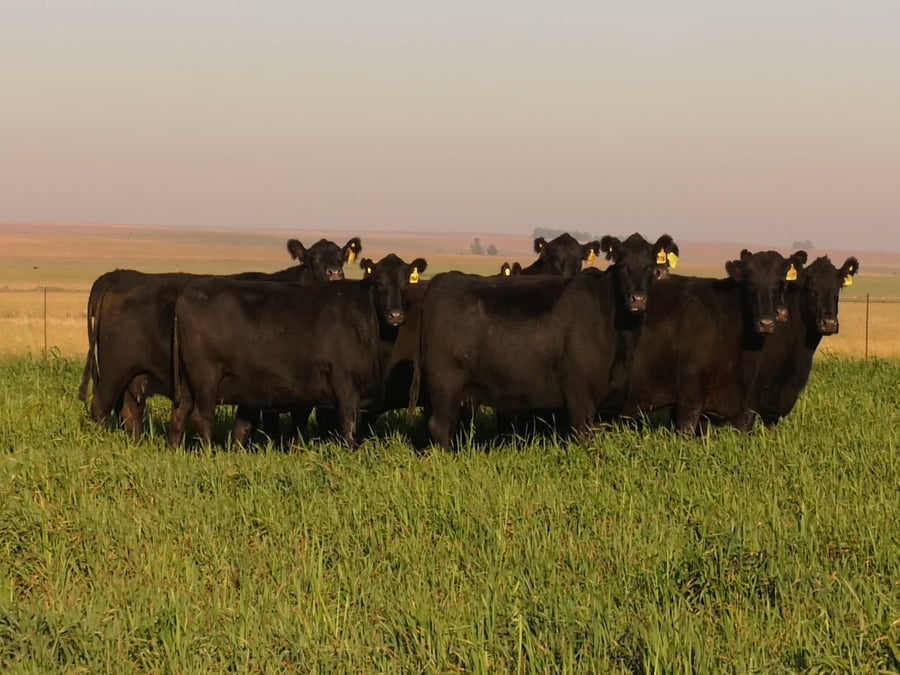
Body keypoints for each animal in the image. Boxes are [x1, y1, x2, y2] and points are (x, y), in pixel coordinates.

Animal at [79, 237, 361, 441]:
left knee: (129, 411)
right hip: (115, 371)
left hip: (134, 377)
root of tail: (119, 274)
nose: (335, 272)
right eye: (314, 258)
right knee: (100, 407)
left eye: (341, 257)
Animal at [166, 254, 427, 449]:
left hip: (188, 379)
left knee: (180, 414)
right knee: (202, 416)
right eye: (379, 283)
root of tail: (188, 291)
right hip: (206, 376)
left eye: (406, 283)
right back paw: (209, 454)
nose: (395, 315)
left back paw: (175, 451)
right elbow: (349, 427)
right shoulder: (344, 383)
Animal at [411, 233, 679, 450]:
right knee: (440, 425)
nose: (638, 299)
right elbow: (584, 436)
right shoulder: (579, 393)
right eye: (622, 264)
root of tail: (442, 281)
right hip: (445, 383)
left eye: (650, 265)